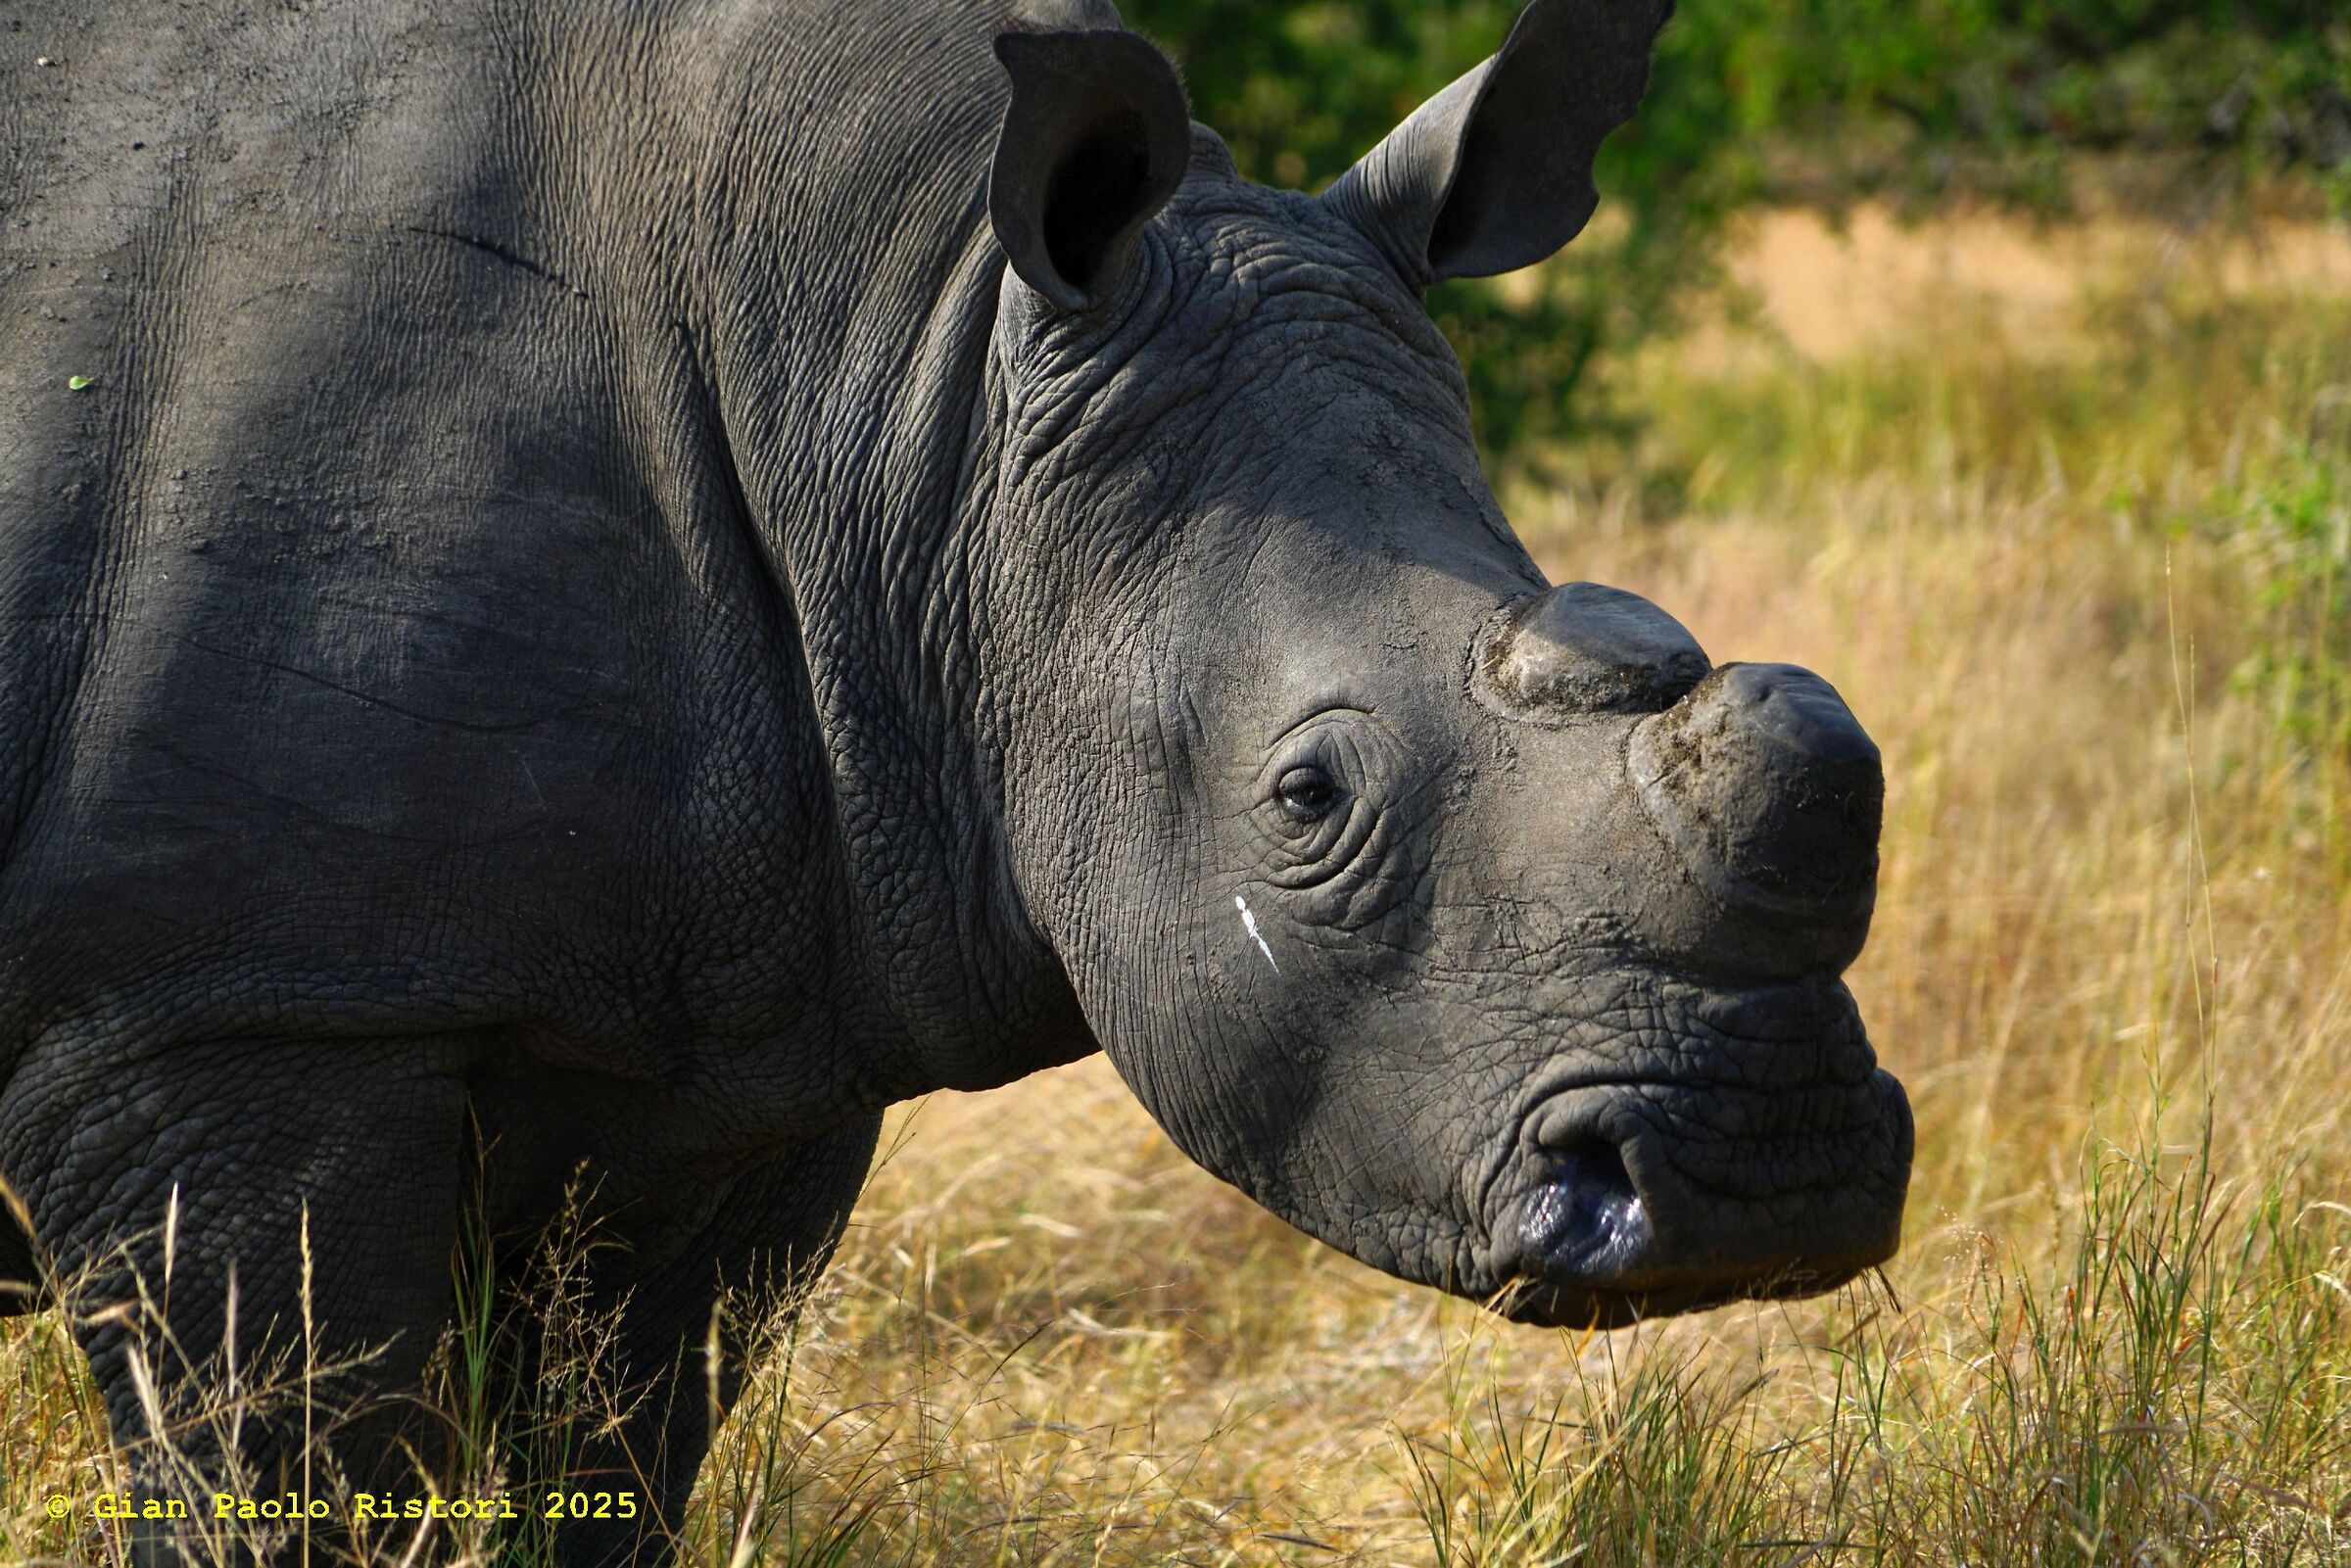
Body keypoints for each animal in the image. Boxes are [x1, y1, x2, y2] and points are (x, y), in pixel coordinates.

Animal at [0, 0, 1912, 1559]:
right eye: (1307, 798)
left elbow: (614, 1457)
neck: (918, 389)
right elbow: (284, 1466)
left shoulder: (740, 1022)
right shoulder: (228, 1009)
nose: (1767, 1172)